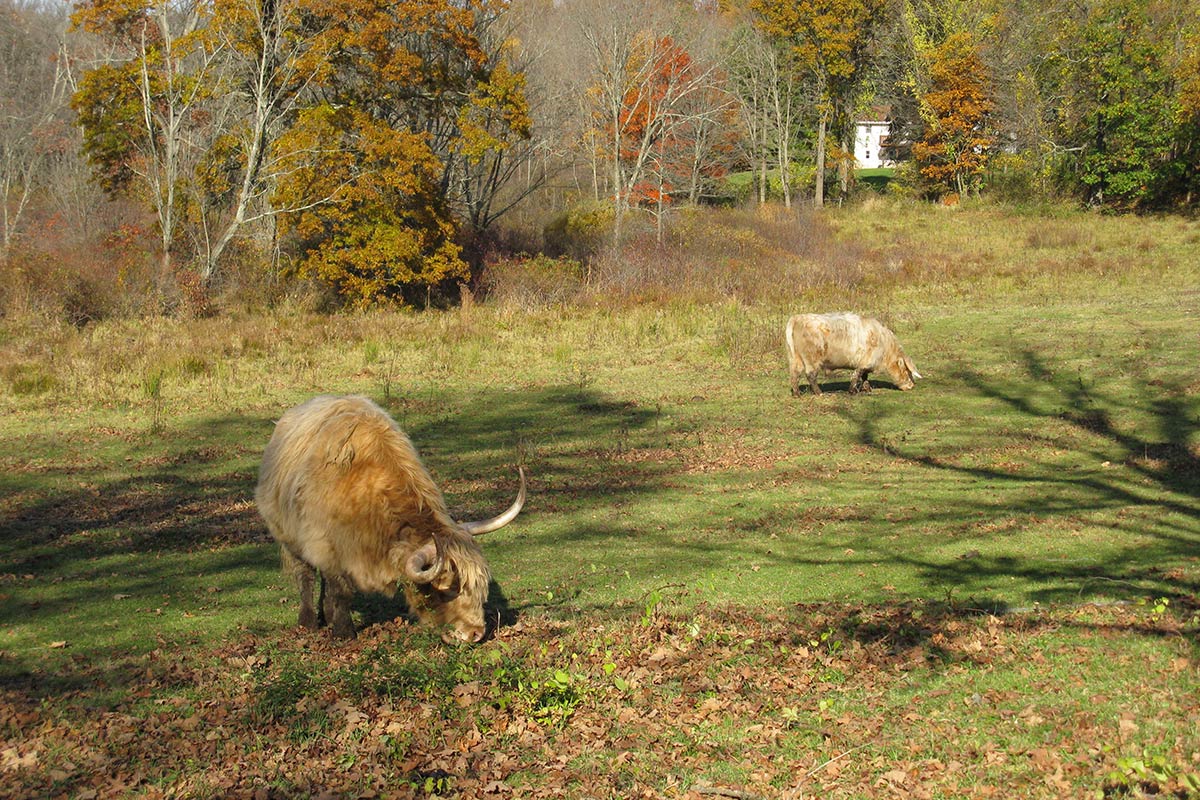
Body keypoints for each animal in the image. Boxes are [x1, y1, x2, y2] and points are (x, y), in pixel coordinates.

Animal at [254, 394, 525, 643]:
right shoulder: (326, 546)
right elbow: (340, 589)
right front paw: (344, 632)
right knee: (306, 575)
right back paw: (308, 621)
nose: (475, 633)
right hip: (288, 536)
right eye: (443, 589)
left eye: (479, 585)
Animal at [785, 312, 922, 396]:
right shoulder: (865, 362)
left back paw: (797, 394)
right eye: (907, 371)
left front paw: (867, 389)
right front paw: (852, 391)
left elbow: (865, 376)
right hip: (811, 358)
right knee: (810, 375)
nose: (911, 386)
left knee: (794, 374)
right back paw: (820, 393)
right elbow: (857, 375)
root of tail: (797, 318)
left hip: (795, 358)